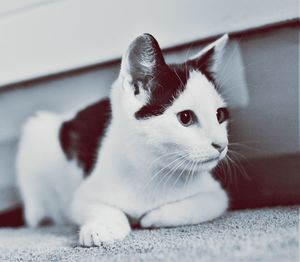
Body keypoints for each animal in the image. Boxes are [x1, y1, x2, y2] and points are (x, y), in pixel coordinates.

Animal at [16, 32, 230, 246]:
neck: (151, 169)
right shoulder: (82, 196)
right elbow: (99, 207)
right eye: (185, 117)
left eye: (220, 115)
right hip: (34, 135)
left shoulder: (217, 194)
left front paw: (152, 217)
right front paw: (102, 226)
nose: (221, 145)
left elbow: (202, 205)